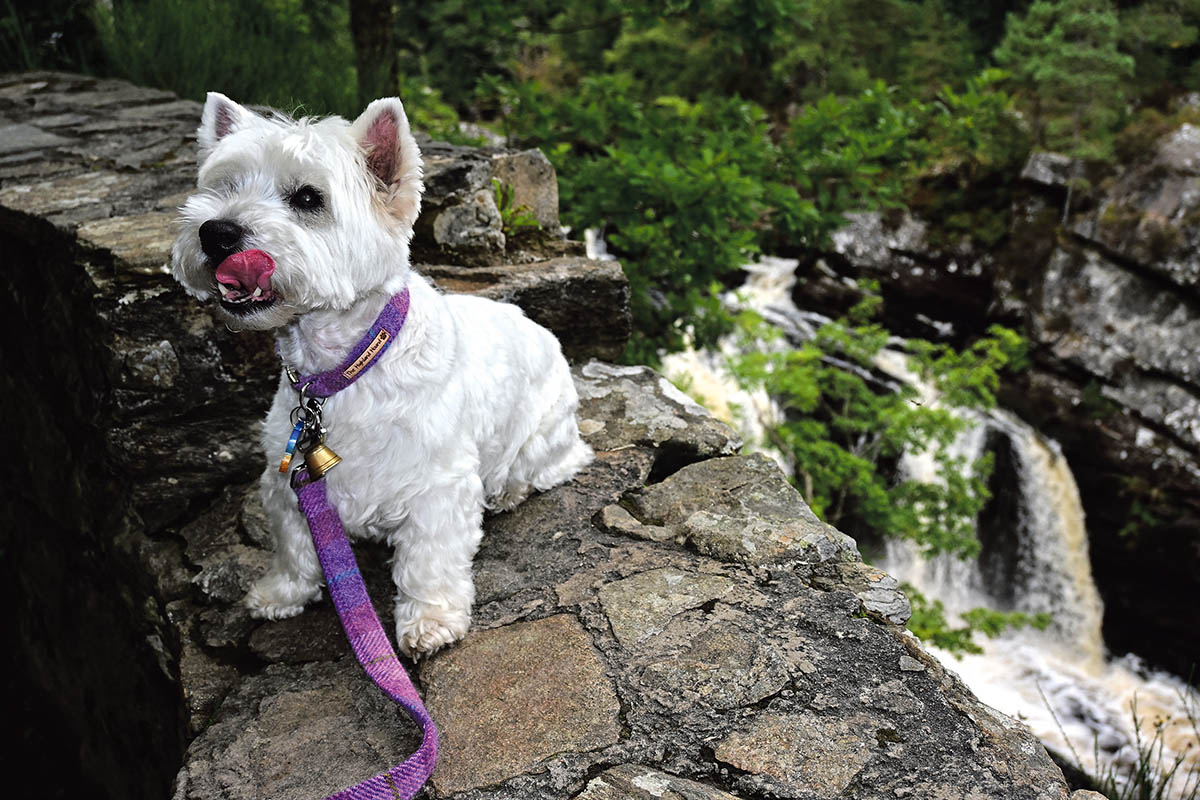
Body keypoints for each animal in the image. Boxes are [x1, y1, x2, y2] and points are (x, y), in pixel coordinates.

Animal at [171, 94, 592, 657]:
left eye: (307, 198)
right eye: (224, 186)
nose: (216, 232)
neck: (340, 372)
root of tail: (541, 329)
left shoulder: (439, 485)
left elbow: (429, 559)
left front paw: (429, 621)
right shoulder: (289, 479)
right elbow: (293, 545)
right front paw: (282, 591)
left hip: (543, 435)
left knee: (546, 464)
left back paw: (508, 491)